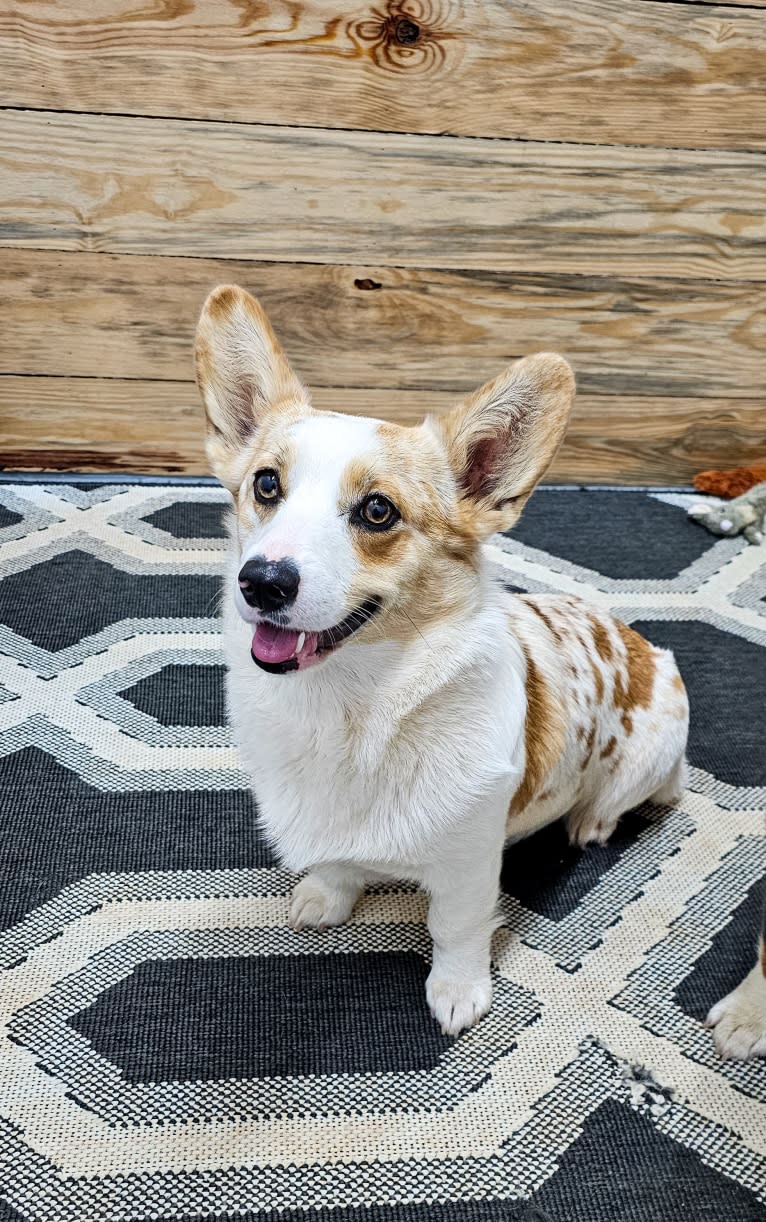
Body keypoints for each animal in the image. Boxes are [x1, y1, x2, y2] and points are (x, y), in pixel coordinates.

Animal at [194, 283, 693, 1031]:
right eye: (266, 485)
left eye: (377, 511)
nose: (262, 581)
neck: (350, 709)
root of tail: (645, 646)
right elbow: (340, 864)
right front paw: (327, 894)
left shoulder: (467, 863)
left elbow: (456, 929)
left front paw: (458, 993)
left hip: (648, 756)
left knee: (622, 798)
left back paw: (591, 821)